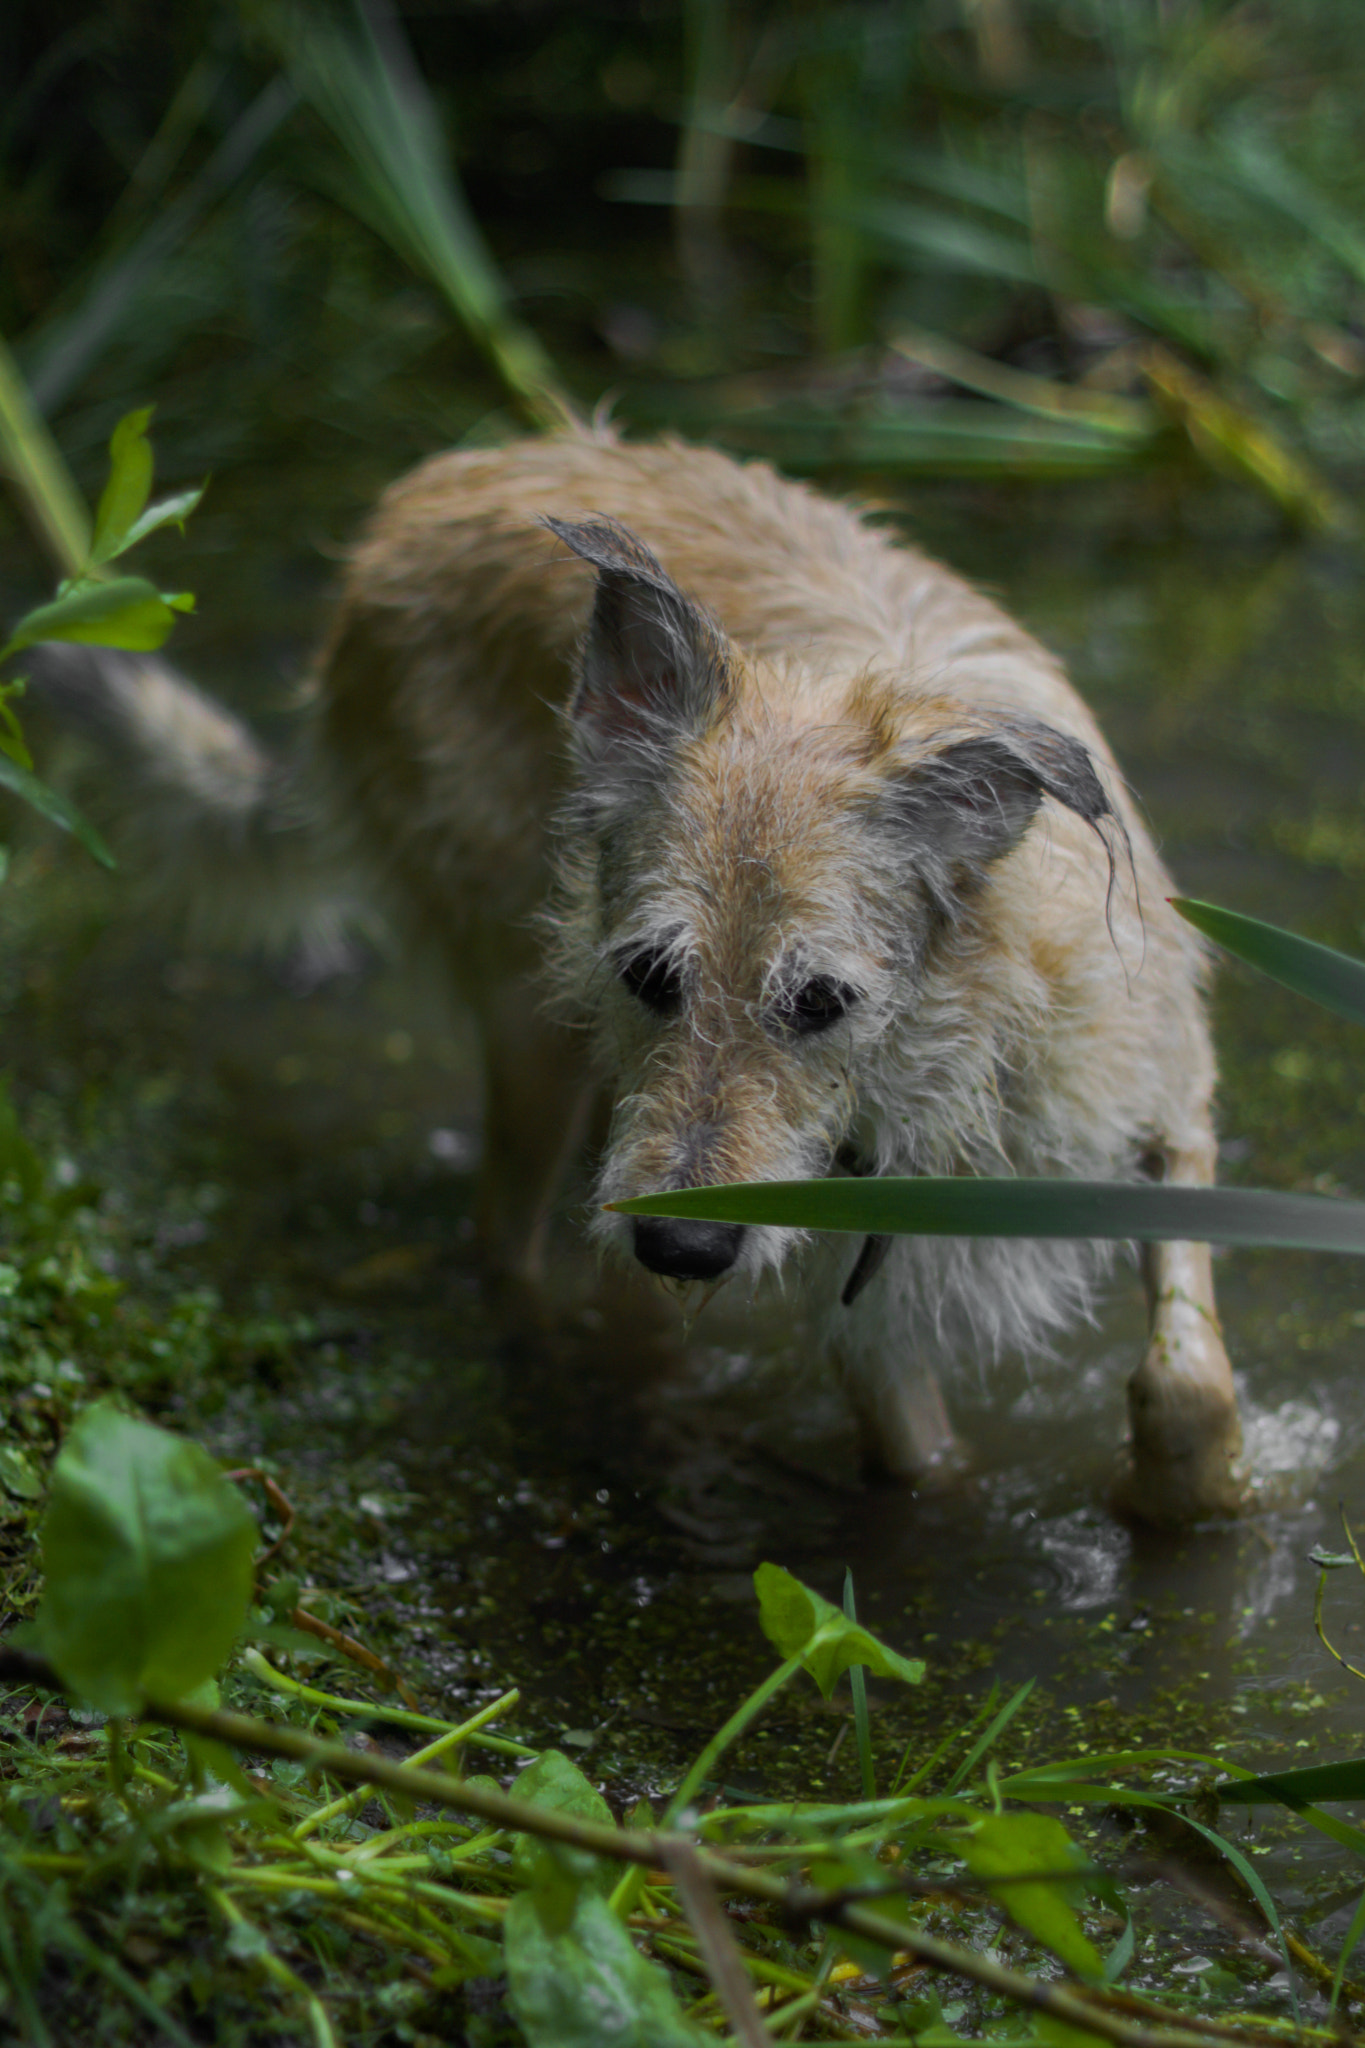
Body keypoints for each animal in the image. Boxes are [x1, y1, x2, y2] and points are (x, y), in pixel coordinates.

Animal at [29, 423, 1252, 1523]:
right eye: (651, 974)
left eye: (822, 1001)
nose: (684, 1244)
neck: (964, 1043)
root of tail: (414, 503)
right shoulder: (859, 1307)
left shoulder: (1169, 1112)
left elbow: (1184, 1380)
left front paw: (1183, 1495)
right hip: (535, 1030)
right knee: (509, 1240)